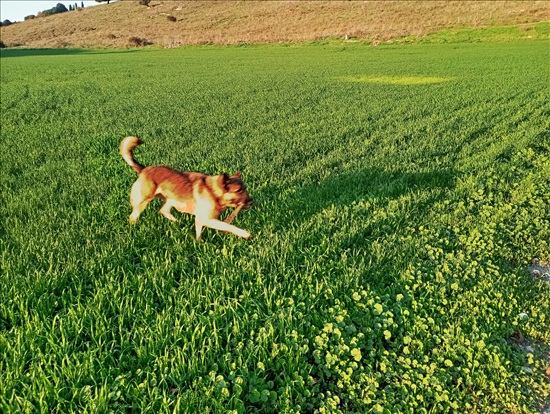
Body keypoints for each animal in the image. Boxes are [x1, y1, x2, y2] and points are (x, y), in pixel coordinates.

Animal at [121, 136, 254, 239]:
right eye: (239, 191)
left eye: (245, 189)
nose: (252, 202)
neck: (213, 191)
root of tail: (144, 169)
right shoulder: (207, 219)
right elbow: (228, 225)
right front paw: (244, 233)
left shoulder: (200, 219)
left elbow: (198, 232)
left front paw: (199, 244)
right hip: (143, 202)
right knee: (133, 216)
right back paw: (133, 229)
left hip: (172, 199)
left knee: (163, 210)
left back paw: (178, 223)